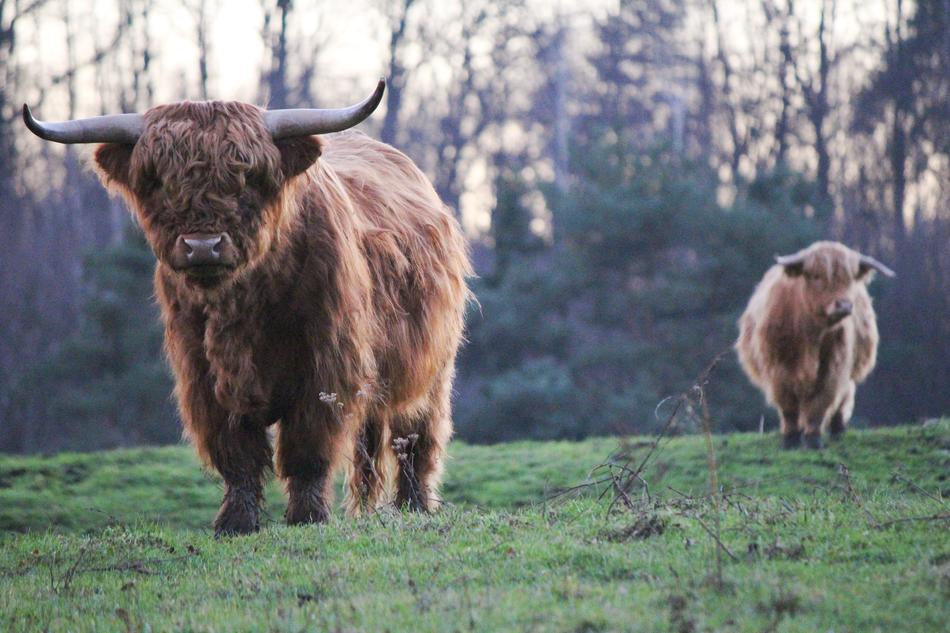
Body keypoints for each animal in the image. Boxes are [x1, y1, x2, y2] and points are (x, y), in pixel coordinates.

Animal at [25, 80, 476, 532]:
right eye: (161, 181)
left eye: (246, 178)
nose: (202, 246)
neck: (244, 307)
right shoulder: (204, 375)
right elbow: (236, 454)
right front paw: (236, 520)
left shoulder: (325, 367)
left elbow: (307, 449)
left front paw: (307, 516)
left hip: (430, 371)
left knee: (416, 439)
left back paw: (414, 506)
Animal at [740, 238, 896, 450]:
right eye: (816, 276)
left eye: (850, 278)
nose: (844, 305)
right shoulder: (778, 371)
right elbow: (788, 408)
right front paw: (790, 439)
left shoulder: (832, 370)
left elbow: (819, 405)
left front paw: (813, 439)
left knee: (843, 399)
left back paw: (838, 430)